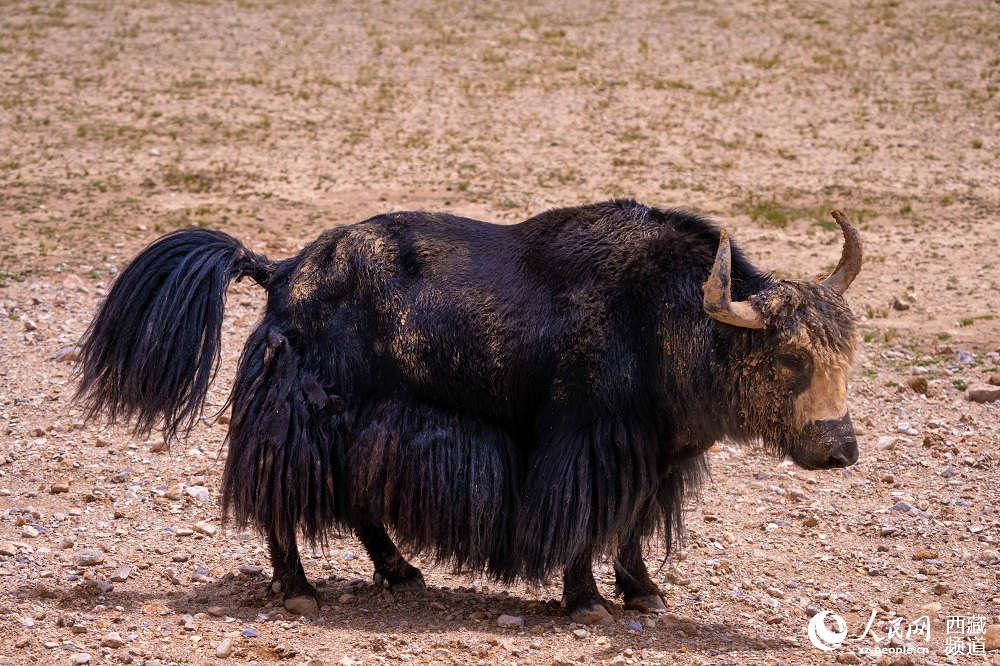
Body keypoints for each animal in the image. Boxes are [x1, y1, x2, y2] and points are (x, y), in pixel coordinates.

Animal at [77, 199, 862, 623]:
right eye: (789, 360)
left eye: (843, 356)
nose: (840, 449)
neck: (673, 317)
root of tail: (283, 271)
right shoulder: (586, 442)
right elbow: (586, 523)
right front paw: (587, 601)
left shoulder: (653, 453)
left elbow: (632, 523)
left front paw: (645, 592)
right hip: (309, 414)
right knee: (283, 495)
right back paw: (299, 590)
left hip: (368, 426)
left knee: (359, 502)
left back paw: (400, 571)